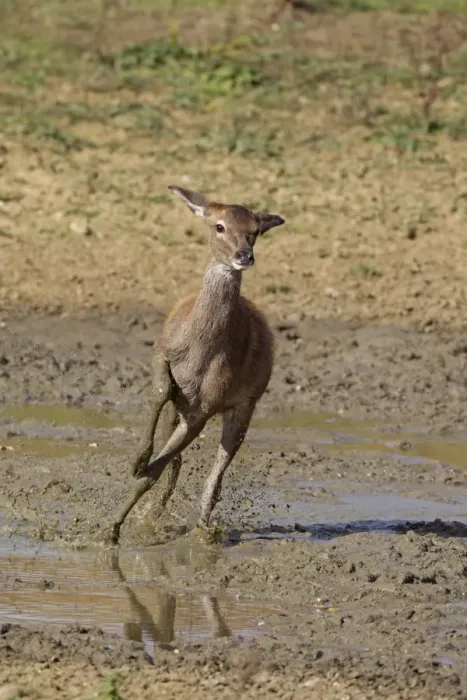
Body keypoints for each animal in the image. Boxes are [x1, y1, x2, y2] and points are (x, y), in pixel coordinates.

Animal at [109, 185, 285, 544]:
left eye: (255, 231)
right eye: (218, 226)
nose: (244, 256)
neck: (199, 353)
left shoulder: (205, 408)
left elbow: (156, 471)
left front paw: (112, 530)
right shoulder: (162, 352)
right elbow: (162, 391)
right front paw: (136, 460)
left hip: (246, 404)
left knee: (213, 475)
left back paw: (203, 529)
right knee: (176, 462)